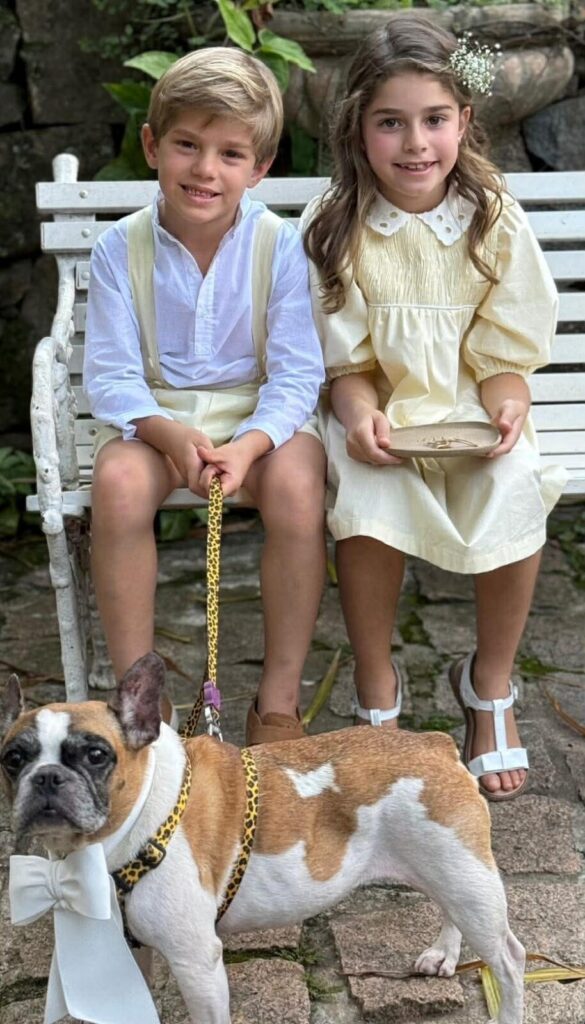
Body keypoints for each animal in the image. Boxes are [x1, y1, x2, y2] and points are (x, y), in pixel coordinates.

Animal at [0, 652, 525, 1024]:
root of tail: (435, 745)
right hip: (449, 866)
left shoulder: (197, 963)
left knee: (509, 960)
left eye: (95, 755)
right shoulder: (135, 952)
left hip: (464, 875)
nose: (46, 777)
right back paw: (444, 954)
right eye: (12, 759)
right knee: (450, 910)